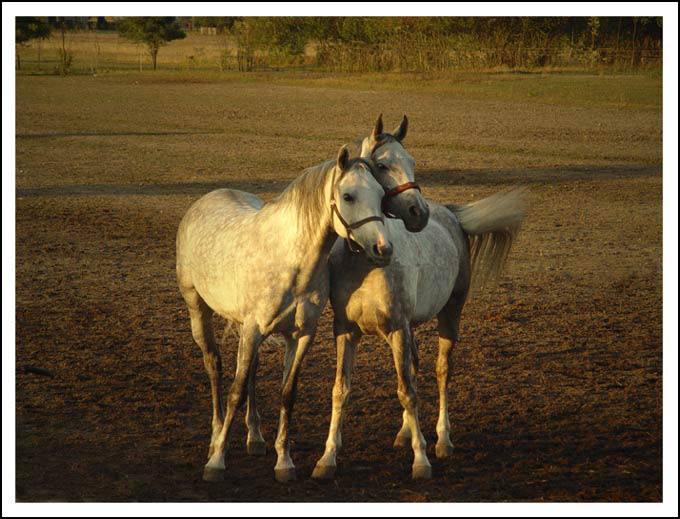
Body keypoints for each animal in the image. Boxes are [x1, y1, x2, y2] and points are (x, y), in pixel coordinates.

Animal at [177, 143, 394, 484]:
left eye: (381, 194)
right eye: (348, 196)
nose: (383, 249)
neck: (292, 261)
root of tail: (207, 198)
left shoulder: (301, 334)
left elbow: (286, 393)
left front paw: (284, 461)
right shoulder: (253, 330)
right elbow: (235, 392)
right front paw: (217, 461)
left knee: (250, 371)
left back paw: (254, 438)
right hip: (198, 308)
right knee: (214, 366)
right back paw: (215, 436)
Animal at [310, 186, 528, 480]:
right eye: (347, 196)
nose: (382, 248)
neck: (363, 267)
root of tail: (451, 214)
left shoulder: (397, 330)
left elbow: (407, 393)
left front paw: (421, 460)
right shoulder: (345, 331)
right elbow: (341, 390)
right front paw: (327, 458)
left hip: (449, 314)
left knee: (442, 371)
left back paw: (443, 440)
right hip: (409, 329)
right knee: (413, 366)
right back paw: (405, 434)